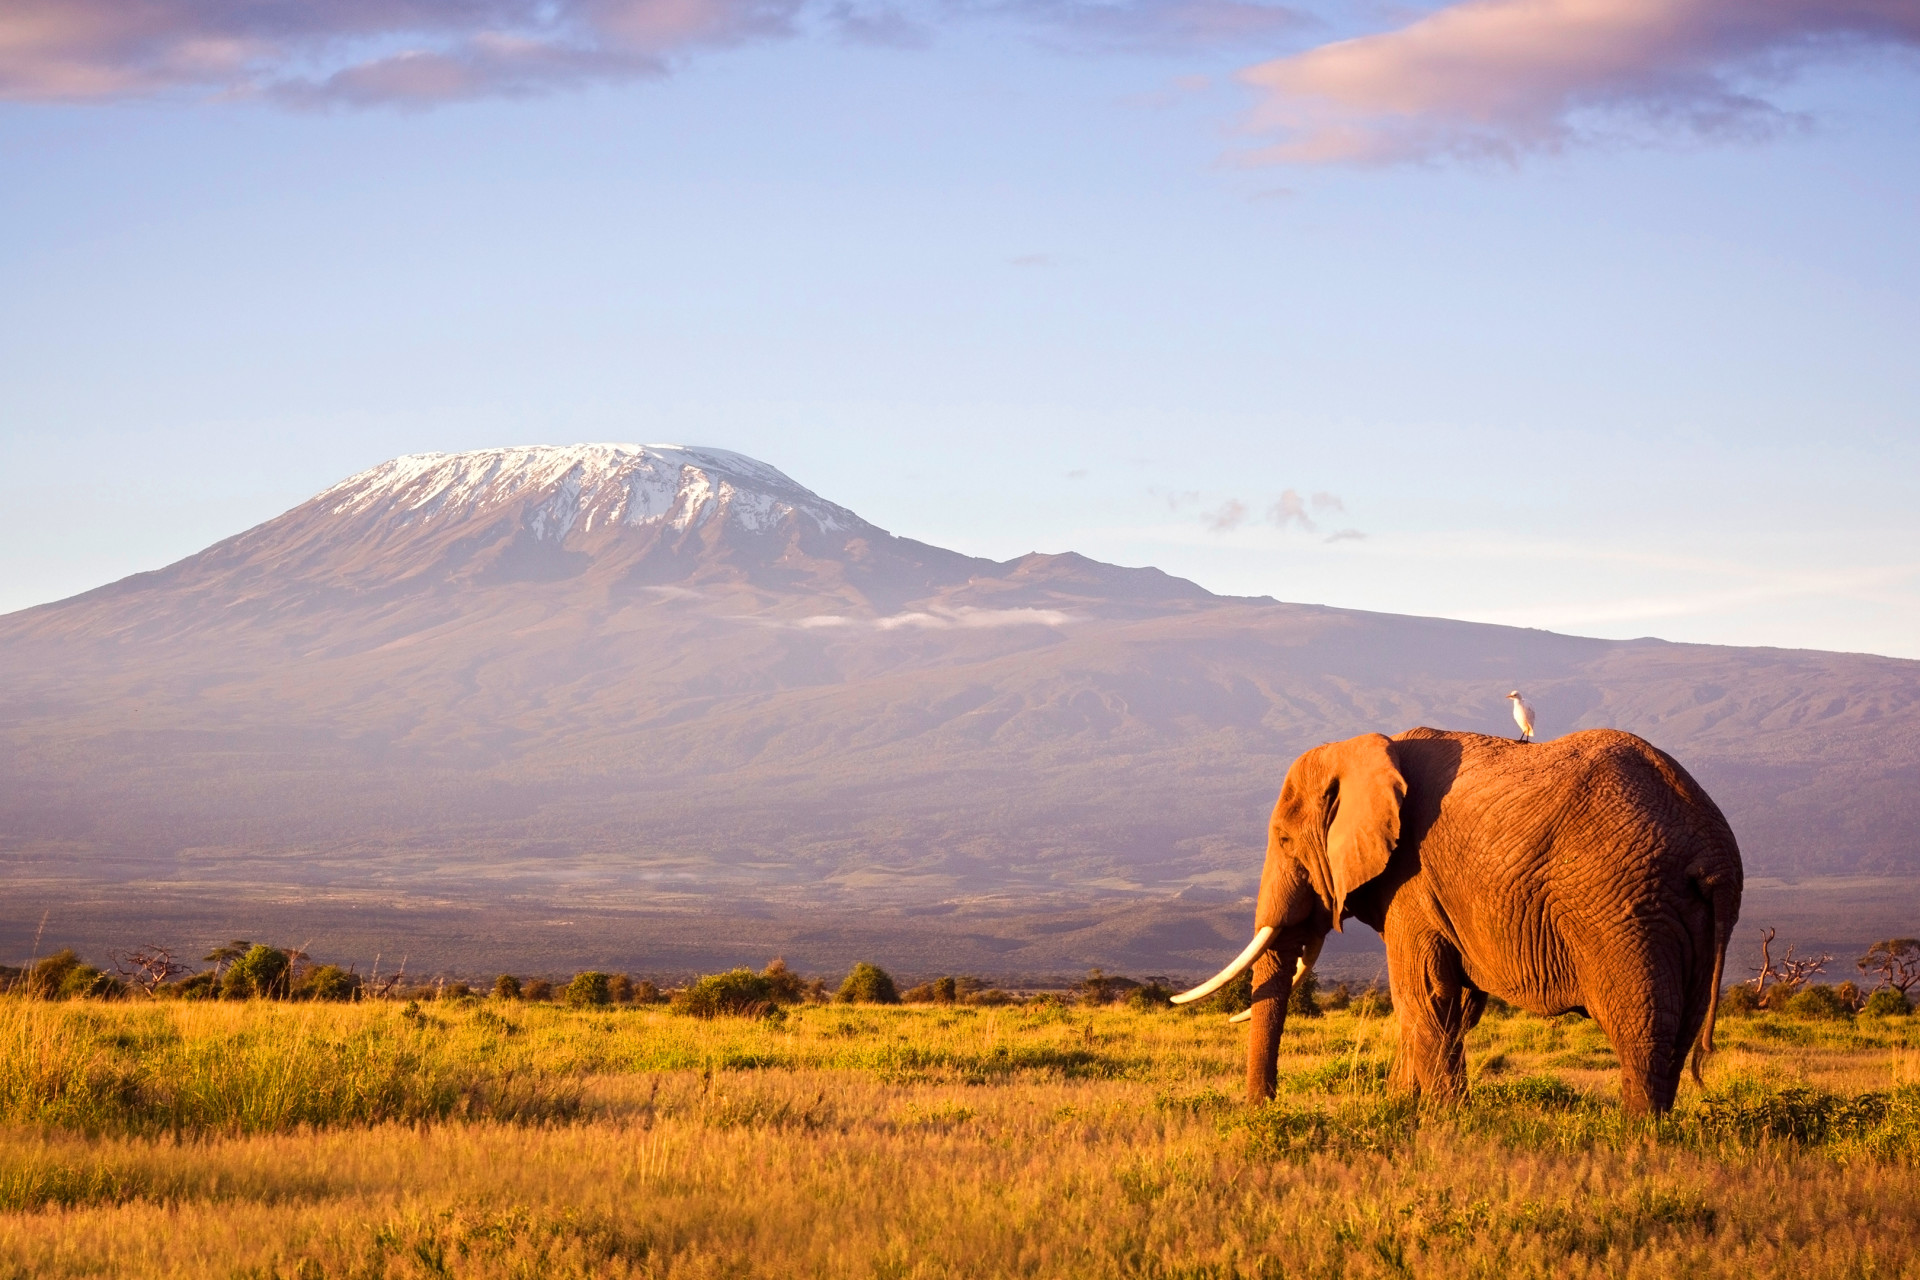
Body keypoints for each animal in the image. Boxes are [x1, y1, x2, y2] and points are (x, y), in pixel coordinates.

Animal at [1173, 727, 1743, 1114]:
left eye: (1285, 840)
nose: (1263, 1108)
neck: (1364, 746)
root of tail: (1712, 849)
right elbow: (1453, 1006)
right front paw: (1402, 1109)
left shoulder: (1413, 881)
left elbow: (1422, 995)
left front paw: (1443, 1122)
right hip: (1684, 918)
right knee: (1679, 1033)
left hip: (1623, 911)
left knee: (1641, 1029)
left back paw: (1634, 1138)